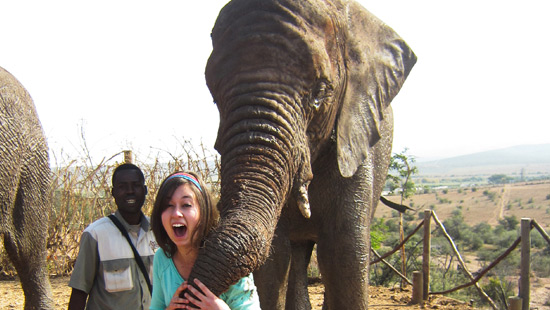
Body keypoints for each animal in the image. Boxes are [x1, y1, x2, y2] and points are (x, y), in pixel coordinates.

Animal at [188, 0, 416, 308]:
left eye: (320, 93)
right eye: (214, 97)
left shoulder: (354, 142)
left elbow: (344, 255)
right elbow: (273, 262)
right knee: (297, 255)